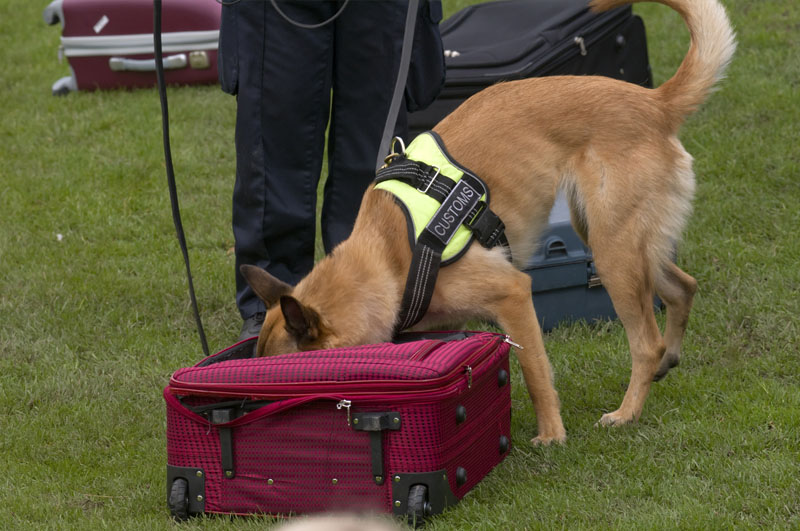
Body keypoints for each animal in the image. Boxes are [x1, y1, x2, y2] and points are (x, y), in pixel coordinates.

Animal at [241, 0, 736, 444]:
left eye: (272, 388)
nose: (241, 417)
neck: (388, 257)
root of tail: (655, 101)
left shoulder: (513, 294)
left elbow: (535, 372)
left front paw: (551, 435)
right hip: (620, 241)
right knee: (682, 287)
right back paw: (667, 362)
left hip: (613, 254)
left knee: (646, 342)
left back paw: (626, 412)